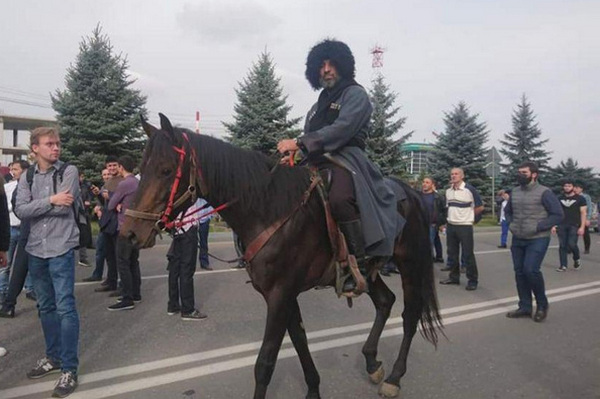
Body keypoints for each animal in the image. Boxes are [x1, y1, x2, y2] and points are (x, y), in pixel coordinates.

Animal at [120, 115, 440, 399]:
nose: (130, 232)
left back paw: (394, 378)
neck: (269, 209)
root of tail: (412, 193)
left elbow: (265, 362)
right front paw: (313, 388)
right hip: (370, 273)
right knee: (385, 302)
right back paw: (372, 362)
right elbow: (299, 340)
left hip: (410, 264)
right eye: (142, 168)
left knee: (410, 316)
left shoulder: (280, 293)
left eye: (165, 170)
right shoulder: (283, 294)